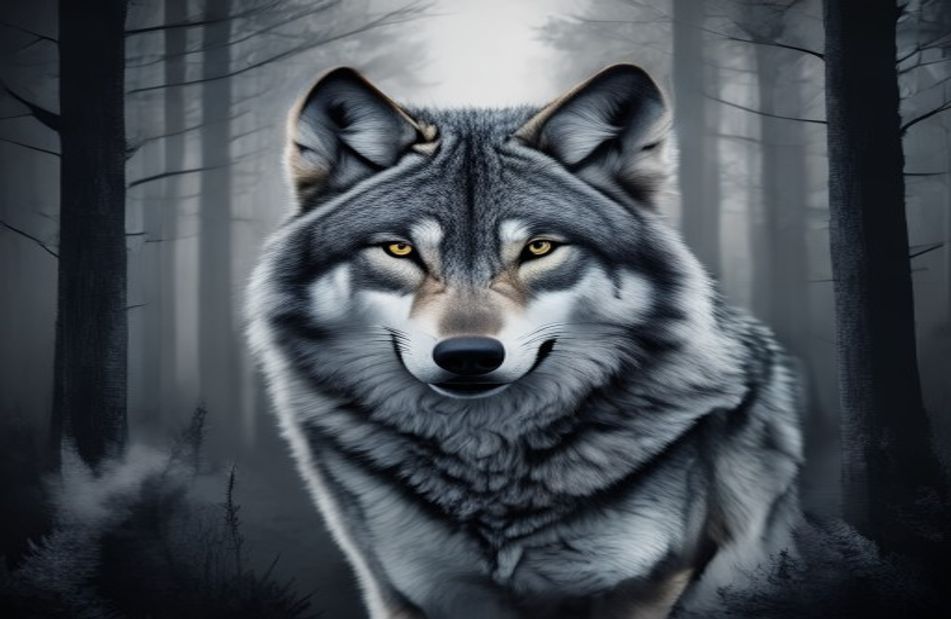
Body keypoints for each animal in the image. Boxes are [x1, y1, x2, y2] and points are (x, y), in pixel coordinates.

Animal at [247, 64, 803, 619]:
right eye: (400, 250)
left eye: (538, 248)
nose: (468, 356)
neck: (490, 468)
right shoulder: (403, 591)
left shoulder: (646, 586)